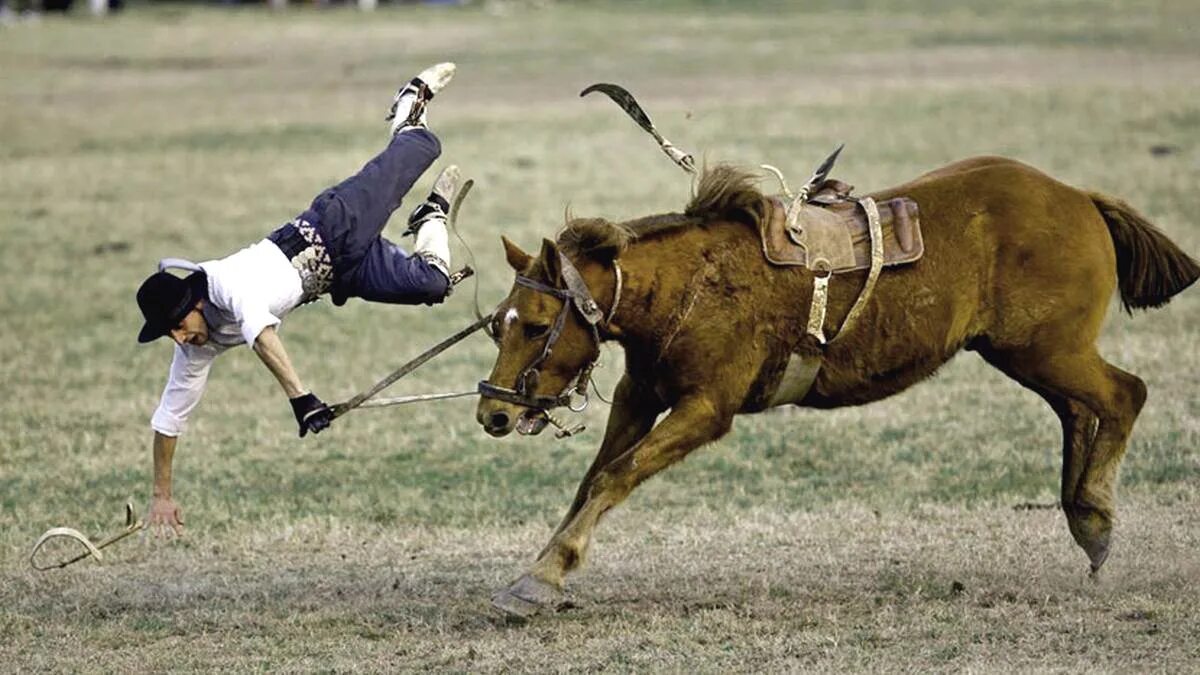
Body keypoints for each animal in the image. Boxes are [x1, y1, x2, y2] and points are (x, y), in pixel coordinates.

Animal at [472, 156, 1195, 614]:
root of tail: (1079, 197)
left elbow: (615, 476)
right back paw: (1084, 518)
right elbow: (593, 478)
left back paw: (1095, 516)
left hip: (1047, 348)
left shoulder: (705, 408)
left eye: (537, 325)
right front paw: (543, 567)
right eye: (496, 322)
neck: (688, 282)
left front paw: (541, 577)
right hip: (1027, 352)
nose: (493, 415)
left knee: (1125, 394)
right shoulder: (640, 395)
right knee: (1079, 409)